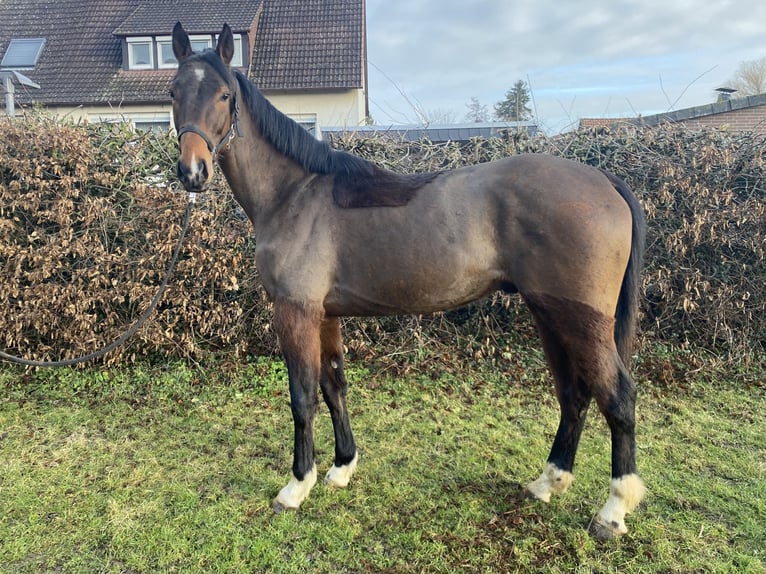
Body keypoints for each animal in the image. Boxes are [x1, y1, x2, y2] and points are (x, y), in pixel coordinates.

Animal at [170, 22, 647, 539]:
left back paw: (613, 510)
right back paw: (548, 482)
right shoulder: (326, 315)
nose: (192, 171)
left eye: (223, 95)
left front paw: (297, 486)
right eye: (174, 92)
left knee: (618, 397)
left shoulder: (295, 312)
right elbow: (334, 386)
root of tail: (605, 182)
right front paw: (342, 467)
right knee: (574, 394)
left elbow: (302, 397)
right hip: (549, 313)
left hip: (580, 320)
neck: (294, 193)